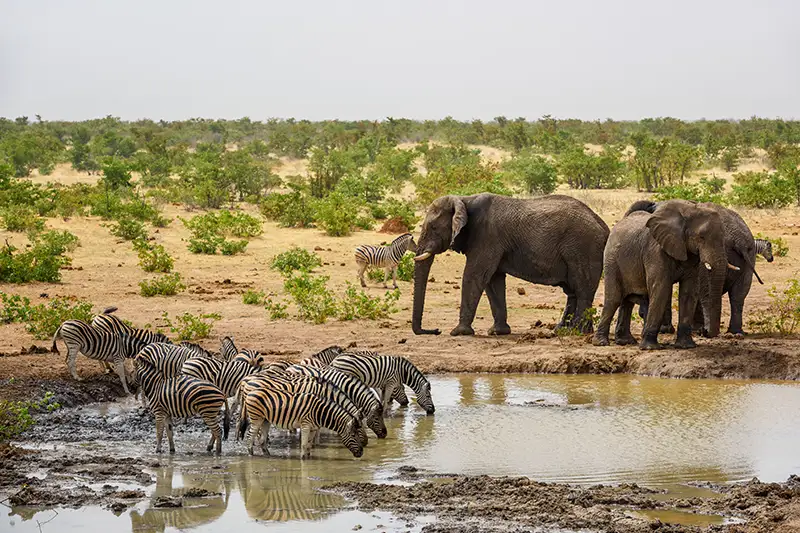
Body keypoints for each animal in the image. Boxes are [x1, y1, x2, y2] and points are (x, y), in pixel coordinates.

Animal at [411, 193, 610, 336]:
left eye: (433, 228)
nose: (435, 331)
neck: (464, 199)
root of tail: (603, 225)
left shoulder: (487, 238)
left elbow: (474, 276)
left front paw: (458, 333)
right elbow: (493, 281)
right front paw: (498, 332)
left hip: (583, 248)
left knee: (582, 290)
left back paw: (577, 332)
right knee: (573, 291)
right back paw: (564, 330)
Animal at [592, 199, 730, 350]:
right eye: (701, 237)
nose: (704, 331)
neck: (688, 211)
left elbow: (688, 292)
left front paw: (686, 346)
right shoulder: (655, 250)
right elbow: (661, 289)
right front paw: (650, 348)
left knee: (627, 301)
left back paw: (625, 341)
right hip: (611, 260)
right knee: (614, 299)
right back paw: (601, 343)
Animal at [631, 201, 762, 335]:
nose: (641, 314)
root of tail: (739, 240)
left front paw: (664, 330)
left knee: (707, 293)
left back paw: (703, 331)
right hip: (750, 254)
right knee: (738, 295)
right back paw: (733, 332)